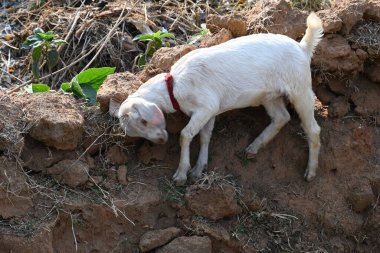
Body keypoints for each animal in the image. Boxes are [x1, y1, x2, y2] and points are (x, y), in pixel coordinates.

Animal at [110, 12, 324, 186]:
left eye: (144, 121)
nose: (161, 140)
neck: (175, 85)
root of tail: (303, 47)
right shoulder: (210, 111)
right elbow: (205, 136)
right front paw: (198, 169)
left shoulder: (205, 106)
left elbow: (185, 134)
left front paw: (181, 173)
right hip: (270, 96)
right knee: (281, 117)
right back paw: (254, 146)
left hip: (300, 88)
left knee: (313, 129)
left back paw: (311, 172)